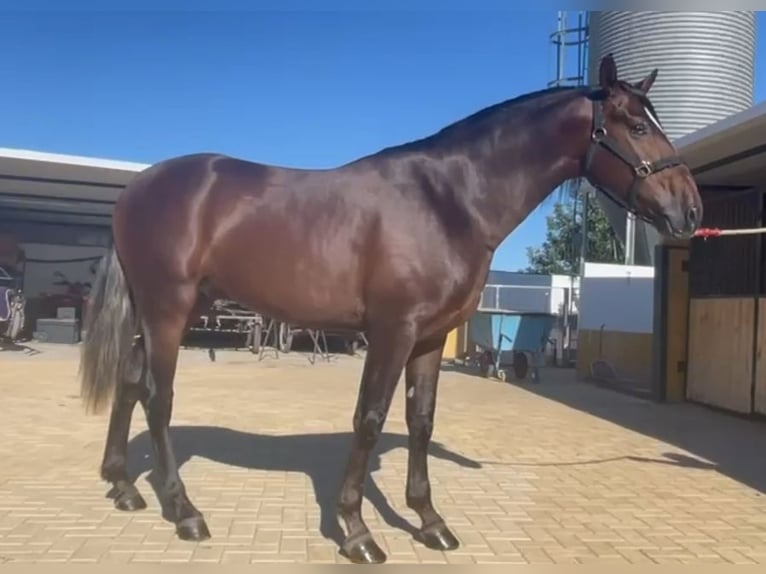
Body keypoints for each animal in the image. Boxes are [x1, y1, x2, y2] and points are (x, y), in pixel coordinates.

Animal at [78, 55, 704, 568]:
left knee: (129, 383)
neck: (447, 201)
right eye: (638, 126)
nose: (690, 210)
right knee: (157, 397)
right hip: (169, 310)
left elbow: (420, 421)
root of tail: (137, 190)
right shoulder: (392, 331)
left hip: (169, 310)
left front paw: (430, 522)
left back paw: (124, 486)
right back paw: (184, 511)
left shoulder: (429, 338)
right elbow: (371, 417)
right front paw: (356, 531)